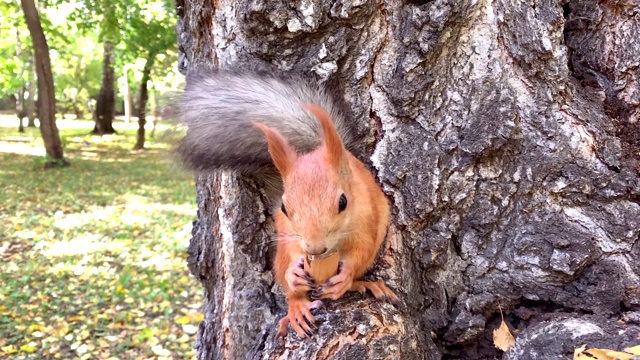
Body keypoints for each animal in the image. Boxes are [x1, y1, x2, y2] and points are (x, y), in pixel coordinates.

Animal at [175, 70, 396, 338]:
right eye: (284, 208)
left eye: (343, 202)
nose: (315, 249)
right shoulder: (289, 234)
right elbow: (292, 255)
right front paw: (294, 274)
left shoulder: (366, 219)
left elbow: (360, 250)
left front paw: (346, 277)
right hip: (279, 254)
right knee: (290, 289)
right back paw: (296, 309)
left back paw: (363, 283)